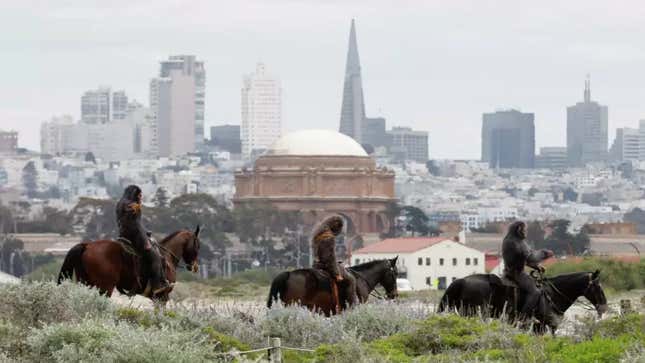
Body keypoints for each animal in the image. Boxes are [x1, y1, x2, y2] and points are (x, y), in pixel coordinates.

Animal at [57, 226, 200, 302]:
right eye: (197, 245)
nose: (195, 267)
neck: (167, 257)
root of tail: (86, 245)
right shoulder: (162, 297)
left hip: (86, 284)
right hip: (105, 288)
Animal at [436, 270, 608, 336]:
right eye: (597, 286)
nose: (604, 306)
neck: (551, 295)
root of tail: (461, 281)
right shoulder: (542, 327)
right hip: (473, 314)